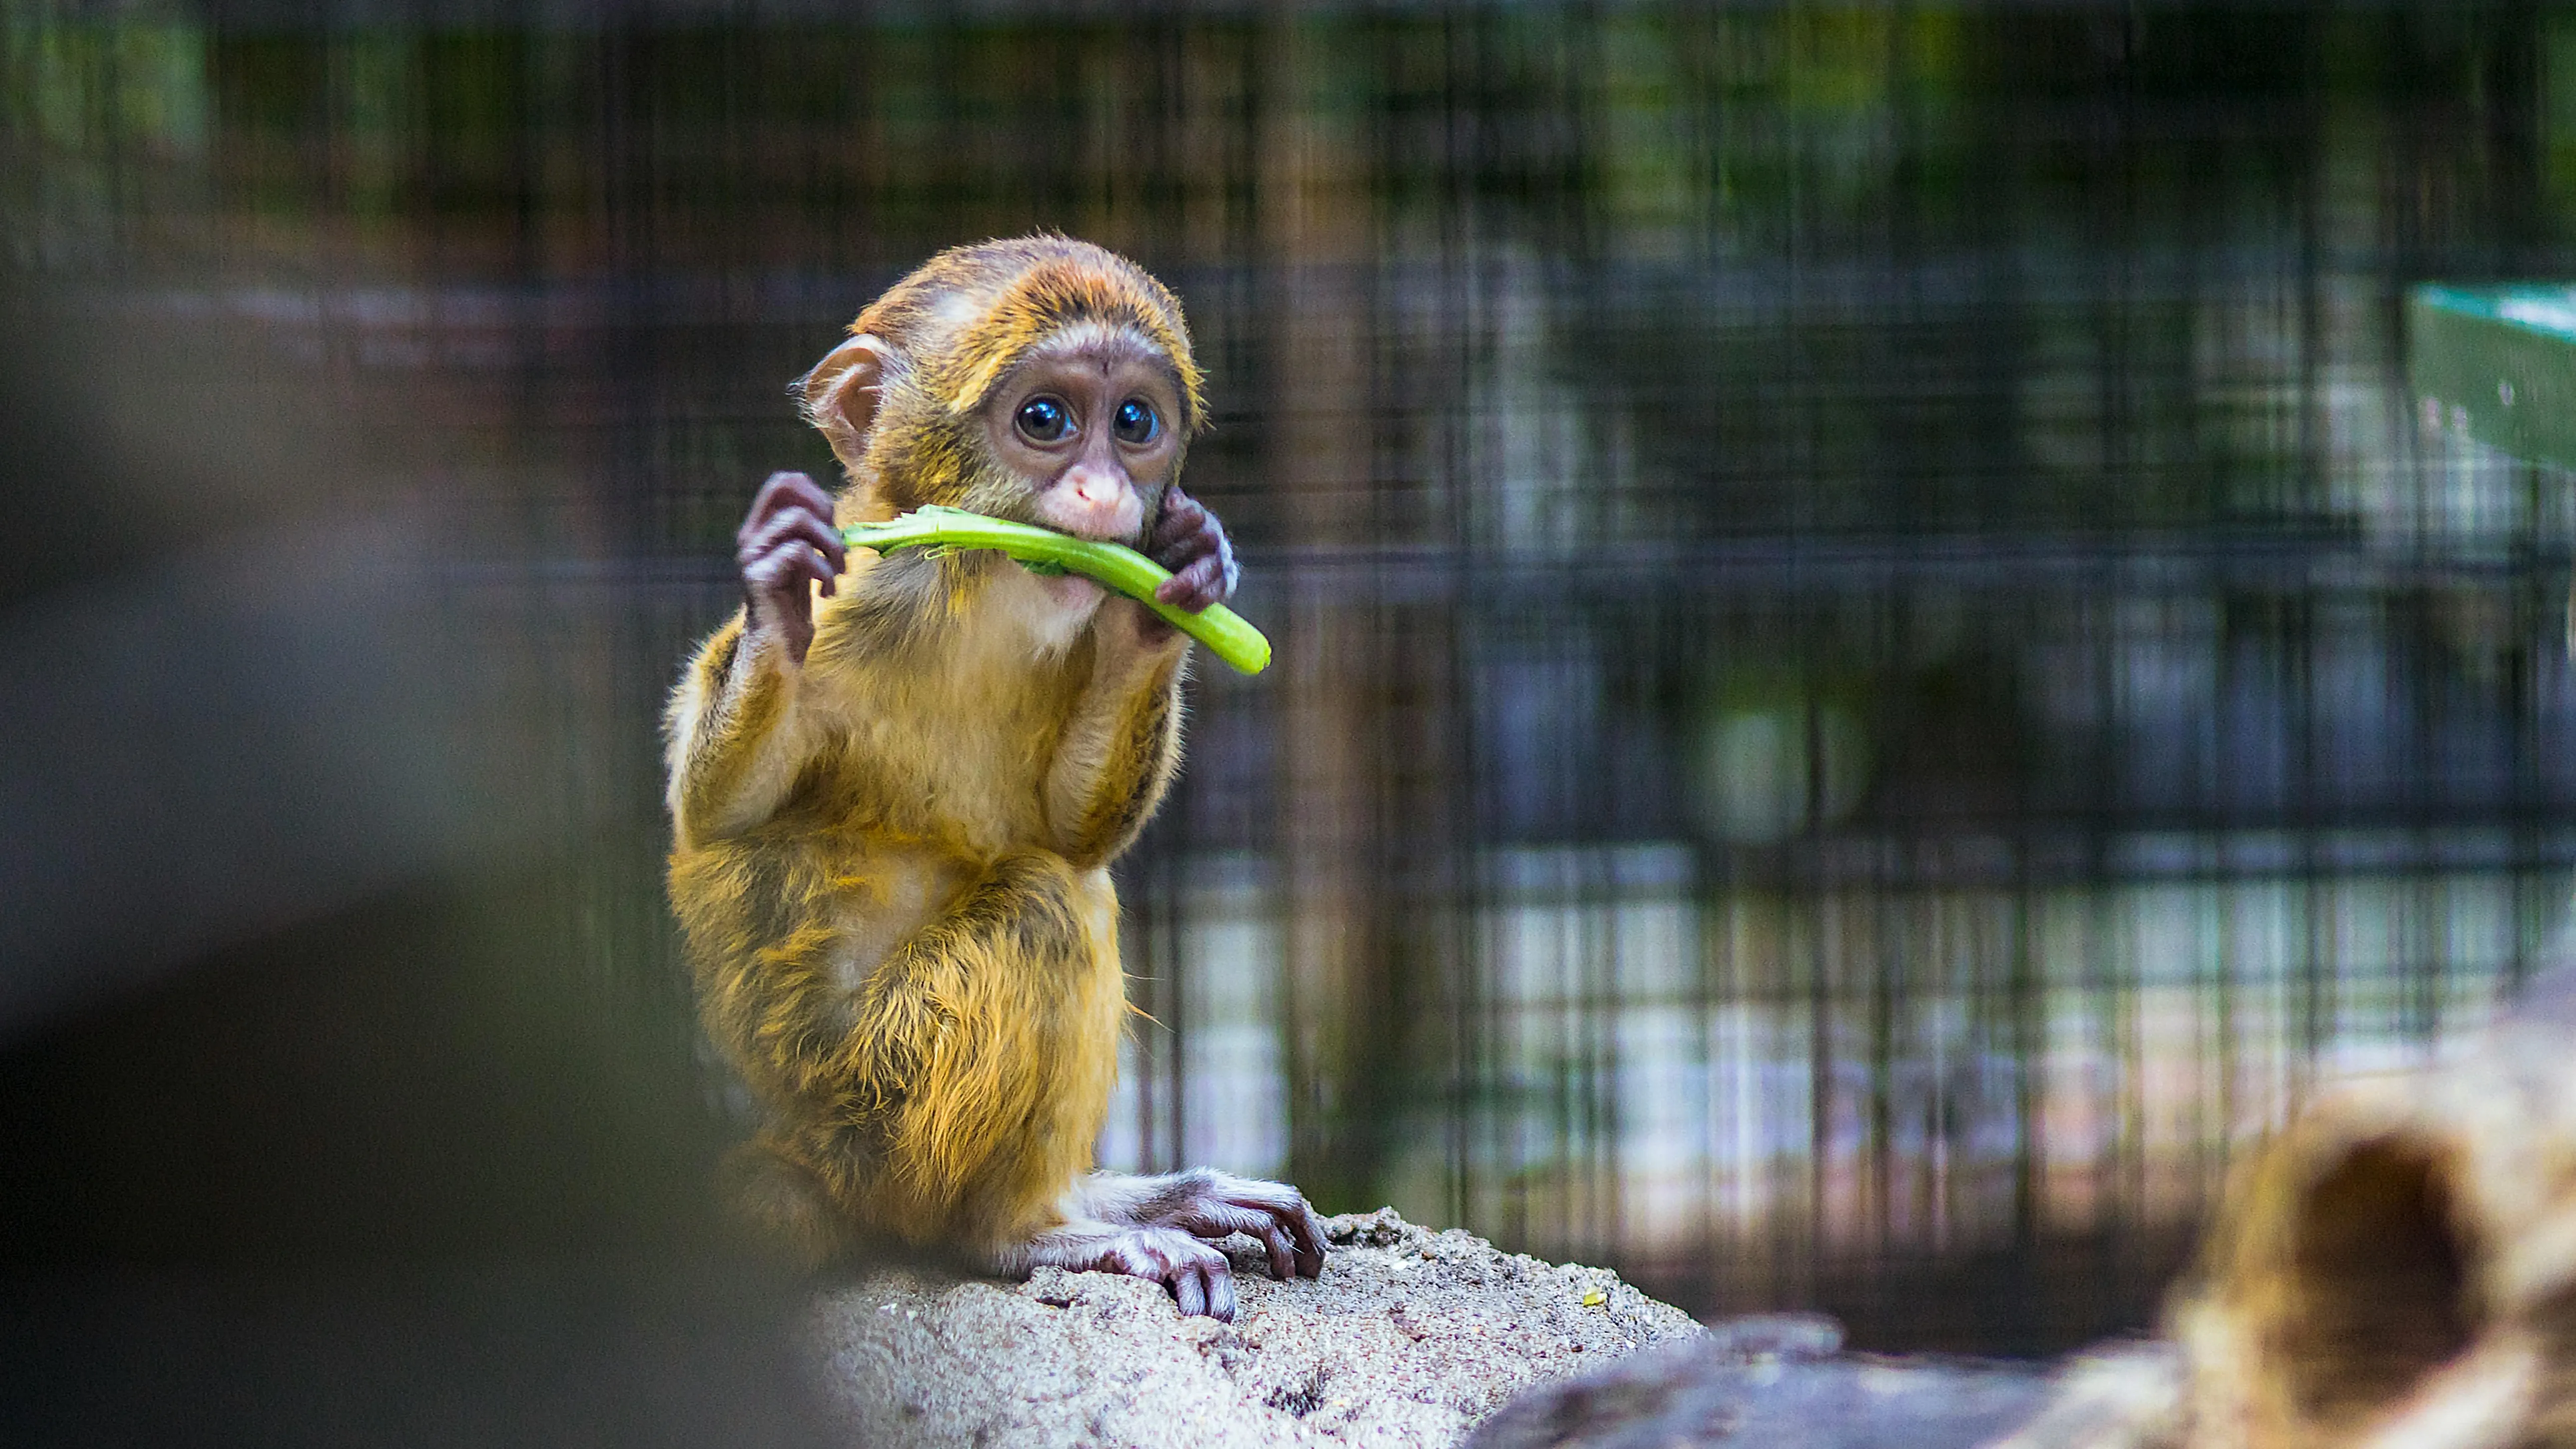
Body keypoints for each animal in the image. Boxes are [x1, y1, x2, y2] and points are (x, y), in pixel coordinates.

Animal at [659, 235, 1329, 1318]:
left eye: (1133, 423)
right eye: (1044, 420)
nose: (1106, 496)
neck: (973, 591)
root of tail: (805, 1153)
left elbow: (1070, 829)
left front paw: (1169, 594)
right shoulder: (861, 598)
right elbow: (718, 813)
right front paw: (775, 594)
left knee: (1066, 880)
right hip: (880, 1108)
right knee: (1045, 906)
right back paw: (1013, 1230)